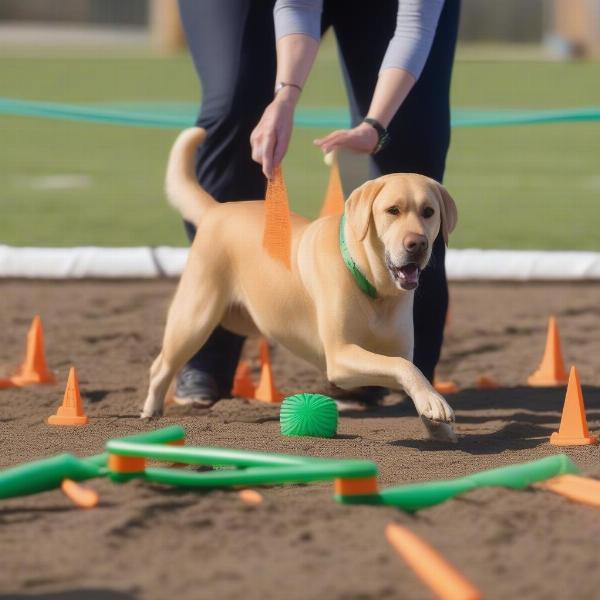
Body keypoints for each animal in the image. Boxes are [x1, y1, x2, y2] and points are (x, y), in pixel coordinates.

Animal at [142, 129, 460, 442]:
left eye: (428, 212)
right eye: (392, 210)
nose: (417, 244)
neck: (375, 289)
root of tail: (216, 209)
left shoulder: (400, 349)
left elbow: (413, 370)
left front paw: (436, 420)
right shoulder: (340, 356)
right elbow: (401, 367)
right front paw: (436, 404)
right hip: (195, 317)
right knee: (160, 366)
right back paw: (151, 412)